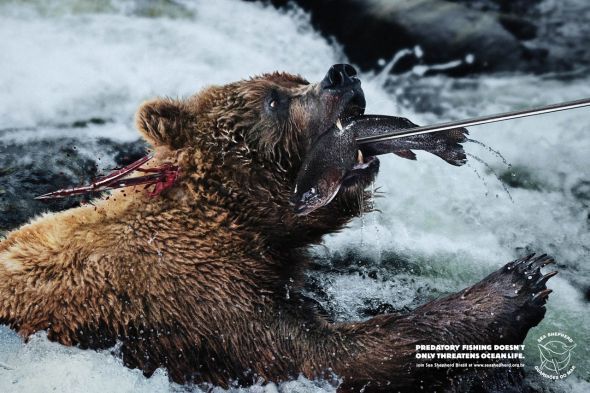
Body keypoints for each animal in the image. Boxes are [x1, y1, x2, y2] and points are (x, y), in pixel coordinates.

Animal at [0, 64, 556, 388]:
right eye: (274, 99)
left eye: (294, 78)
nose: (341, 72)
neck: (242, 222)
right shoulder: (198, 299)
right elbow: (321, 356)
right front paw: (515, 285)